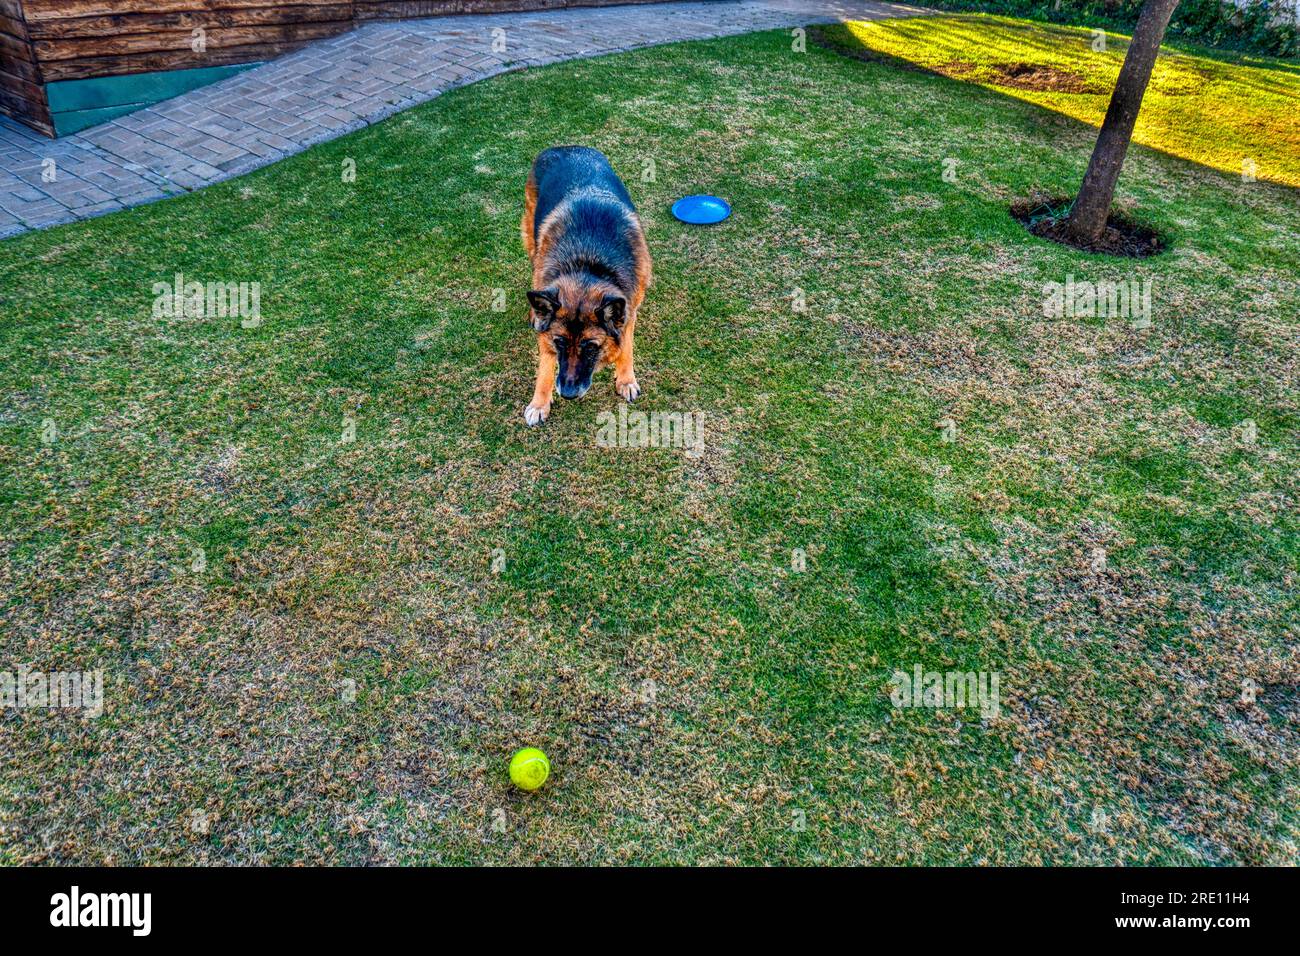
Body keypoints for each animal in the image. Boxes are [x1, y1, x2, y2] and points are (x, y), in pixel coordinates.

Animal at [520, 143, 650, 424]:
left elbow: (627, 347)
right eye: (559, 342)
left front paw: (626, 379)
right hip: (531, 240)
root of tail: (565, 147)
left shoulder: (630, 311)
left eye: (590, 346)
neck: (587, 265)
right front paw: (539, 402)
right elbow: (546, 365)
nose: (568, 394)